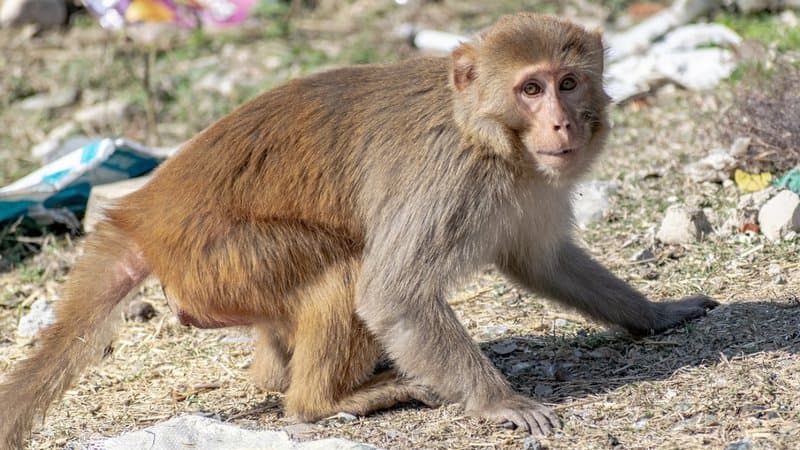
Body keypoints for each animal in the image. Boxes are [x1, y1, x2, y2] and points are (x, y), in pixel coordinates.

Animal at [0, 13, 718, 448]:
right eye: (531, 89)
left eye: (569, 82)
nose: (563, 124)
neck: (486, 135)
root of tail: (142, 213)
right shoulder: (450, 179)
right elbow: (392, 294)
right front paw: (497, 402)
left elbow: (544, 262)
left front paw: (655, 313)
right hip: (220, 257)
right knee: (343, 271)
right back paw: (320, 402)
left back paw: (278, 377)